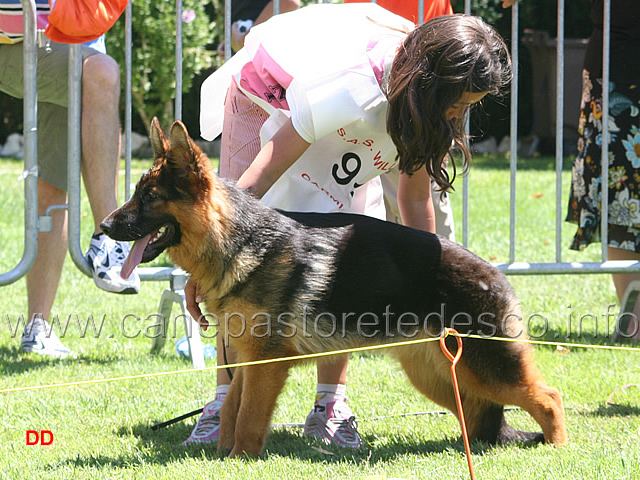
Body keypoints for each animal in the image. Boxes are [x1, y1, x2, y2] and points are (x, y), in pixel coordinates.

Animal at [100, 119, 564, 458]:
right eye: (136, 194)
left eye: (149, 197)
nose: (103, 226)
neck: (240, 240)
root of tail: (495, 273)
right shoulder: (246, 359)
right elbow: (232, 409)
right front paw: (221, 456)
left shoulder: (266, 365)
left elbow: (248, 417)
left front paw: (240, 460)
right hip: (439, 376)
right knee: (479, 410)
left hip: (488, 369)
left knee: (549, 397)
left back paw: (557, 449)